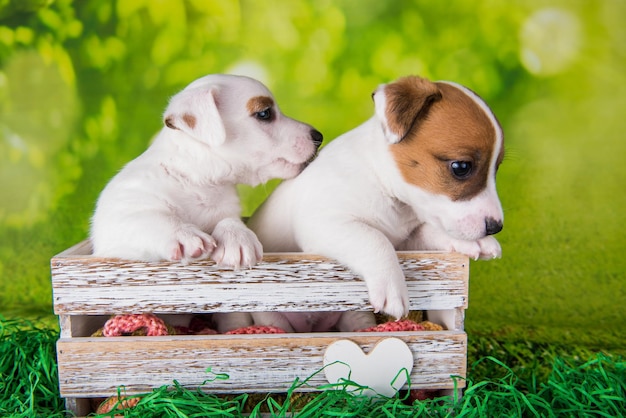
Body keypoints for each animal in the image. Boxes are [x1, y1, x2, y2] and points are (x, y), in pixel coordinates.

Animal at [90, 73, 322, 268]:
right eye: (264, 113)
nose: (319, 136)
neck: (201, 181)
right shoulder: (120, 215)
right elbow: (151, 217)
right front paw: (183, 234)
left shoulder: (227, 211)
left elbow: (229, 220)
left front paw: (237, 237)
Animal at [247, 75, 502, 324]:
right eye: (461, 167)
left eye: (496, 168)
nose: (496, 227)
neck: (383, 185)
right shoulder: (324, 223)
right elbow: (374, 239)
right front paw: (393, 287)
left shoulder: (405, 240)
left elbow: (427, 231)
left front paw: (474, 242)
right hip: (269, 317)